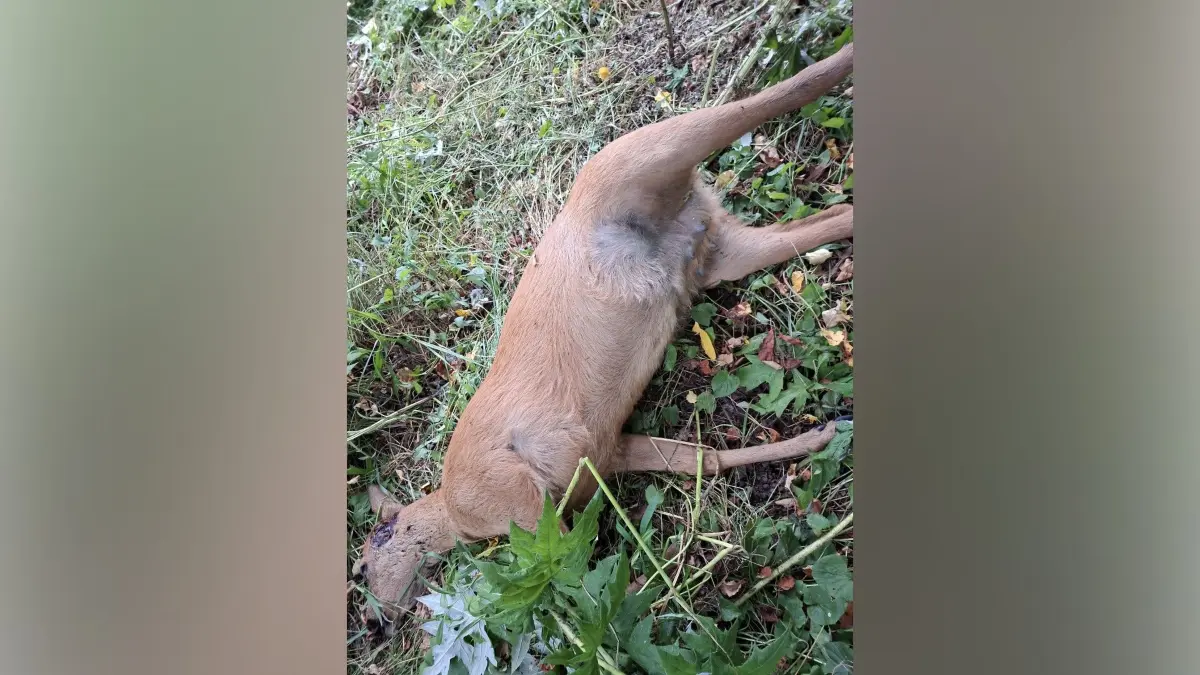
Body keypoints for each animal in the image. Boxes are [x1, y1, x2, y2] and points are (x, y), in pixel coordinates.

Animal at [355, 43, 855, 633]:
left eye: (365, 564)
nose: (375, 622)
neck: (457, 514)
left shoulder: (510, 490)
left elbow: (573, 563)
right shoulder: (607, 450)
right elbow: (700, 458)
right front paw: (821, 436)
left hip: (635, 157)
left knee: (772, 95)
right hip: (724, 251)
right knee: (834, 215)